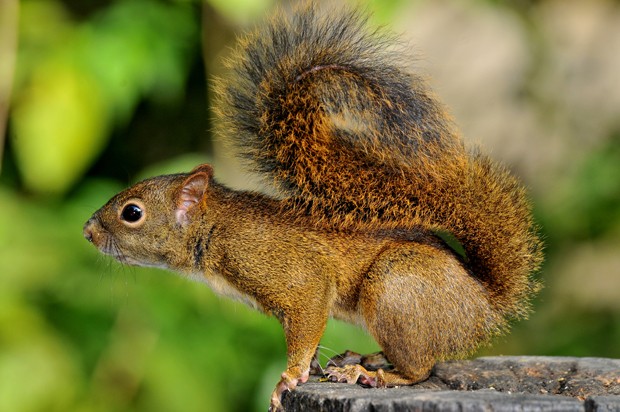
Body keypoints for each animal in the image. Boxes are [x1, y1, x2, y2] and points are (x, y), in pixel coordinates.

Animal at [83, 4, 544, 412]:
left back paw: (371, 375)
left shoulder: (291, 274)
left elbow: (305, 321)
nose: (87, 231)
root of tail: (483, 305)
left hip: (396, 286)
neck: (214, 229)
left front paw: (288, 378)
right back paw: (367, 358)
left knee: (421, 368)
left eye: (132, 213)